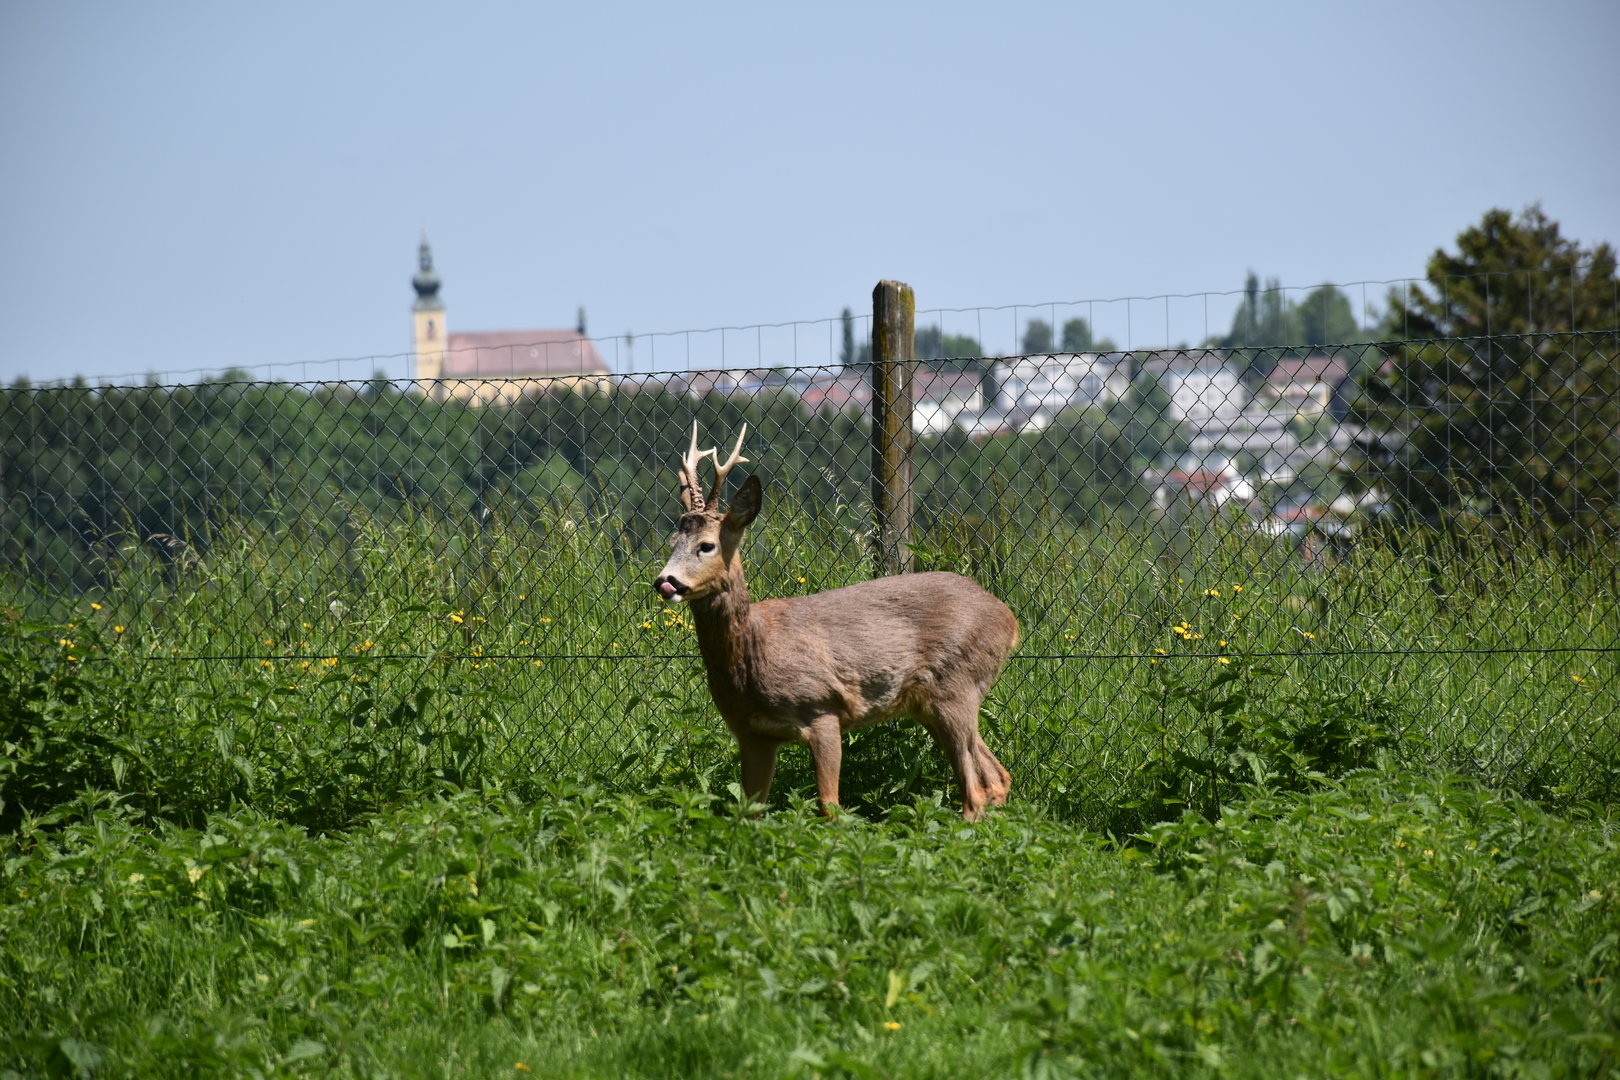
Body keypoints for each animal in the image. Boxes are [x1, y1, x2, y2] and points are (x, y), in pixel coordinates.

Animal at [653, 424, 1019, 820]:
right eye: (672, 542)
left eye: (707, 545)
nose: (665, 582)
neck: (754, 652)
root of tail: (1009, 620)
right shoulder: (752, 733)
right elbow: (749, 810)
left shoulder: (821, 707)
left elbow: (829, 806)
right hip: (932, 704)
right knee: (997, 776)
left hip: (956, 685)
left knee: (976, 789)